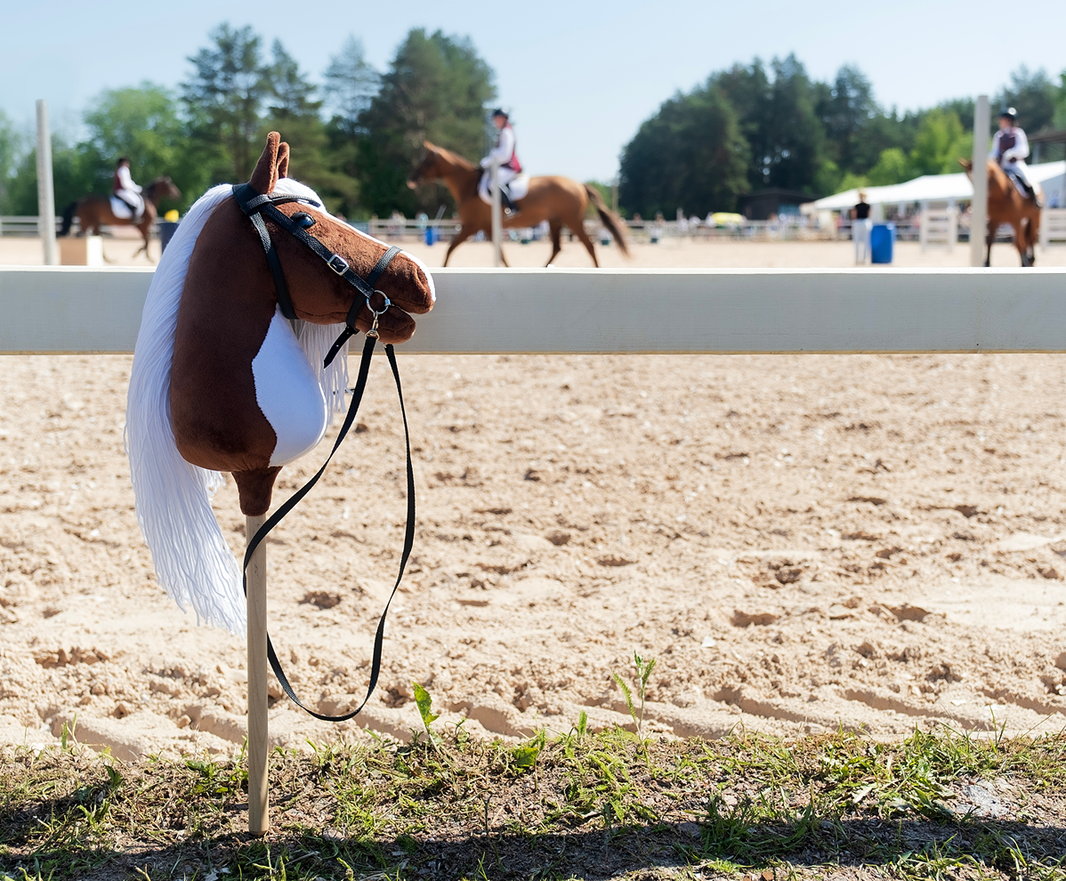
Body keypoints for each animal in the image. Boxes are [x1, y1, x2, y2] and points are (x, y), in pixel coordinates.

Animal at [405, 138, 622, 264]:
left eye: (427, 160)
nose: (411, 180)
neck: (468, 185)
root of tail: (579, 185)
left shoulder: (473, 225)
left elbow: (449, 249)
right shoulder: (487, 228)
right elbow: (501, 254)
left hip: (573, 220)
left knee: (590, 247)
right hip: (555, 221)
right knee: (557, 248)